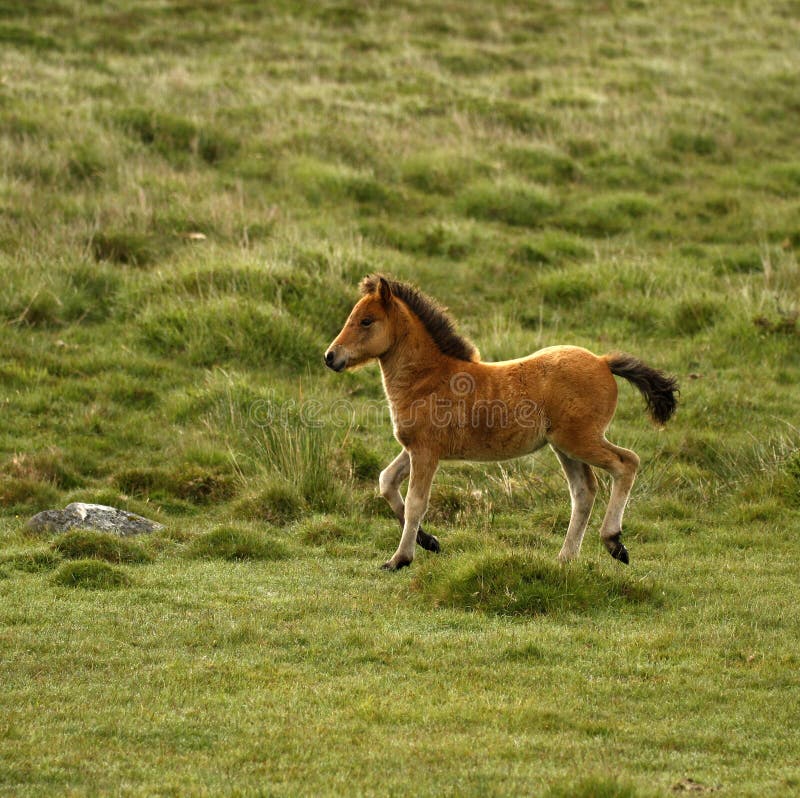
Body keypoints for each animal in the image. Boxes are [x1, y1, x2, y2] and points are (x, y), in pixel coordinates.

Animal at [325, 274, 678, 571]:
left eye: (366, 321)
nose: (330, 357)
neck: (428, 378)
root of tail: (604, 362)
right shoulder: (414, 448)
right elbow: (386, 481)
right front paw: (430, 542)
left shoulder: (426, 451)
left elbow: (415, 503)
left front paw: (399, 559)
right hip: (563, 446)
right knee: (584, 491)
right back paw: (565, 557)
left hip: (580, 439)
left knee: (626, 463)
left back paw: (614, 542)